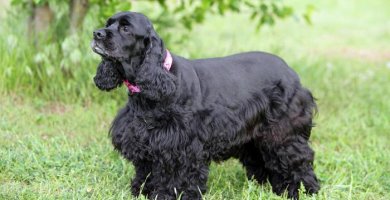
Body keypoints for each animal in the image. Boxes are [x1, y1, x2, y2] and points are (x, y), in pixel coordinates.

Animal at [91, 11, 320, 200]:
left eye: (126, 28)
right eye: (108, 23)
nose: (96, 33)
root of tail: (291, 73)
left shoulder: (182, 147)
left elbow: (180, 180)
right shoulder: (146, 145)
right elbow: (146, 173)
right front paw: (141, 192)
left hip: (284, 133)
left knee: (298, 162)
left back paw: (302, 191)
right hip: (255, 138)